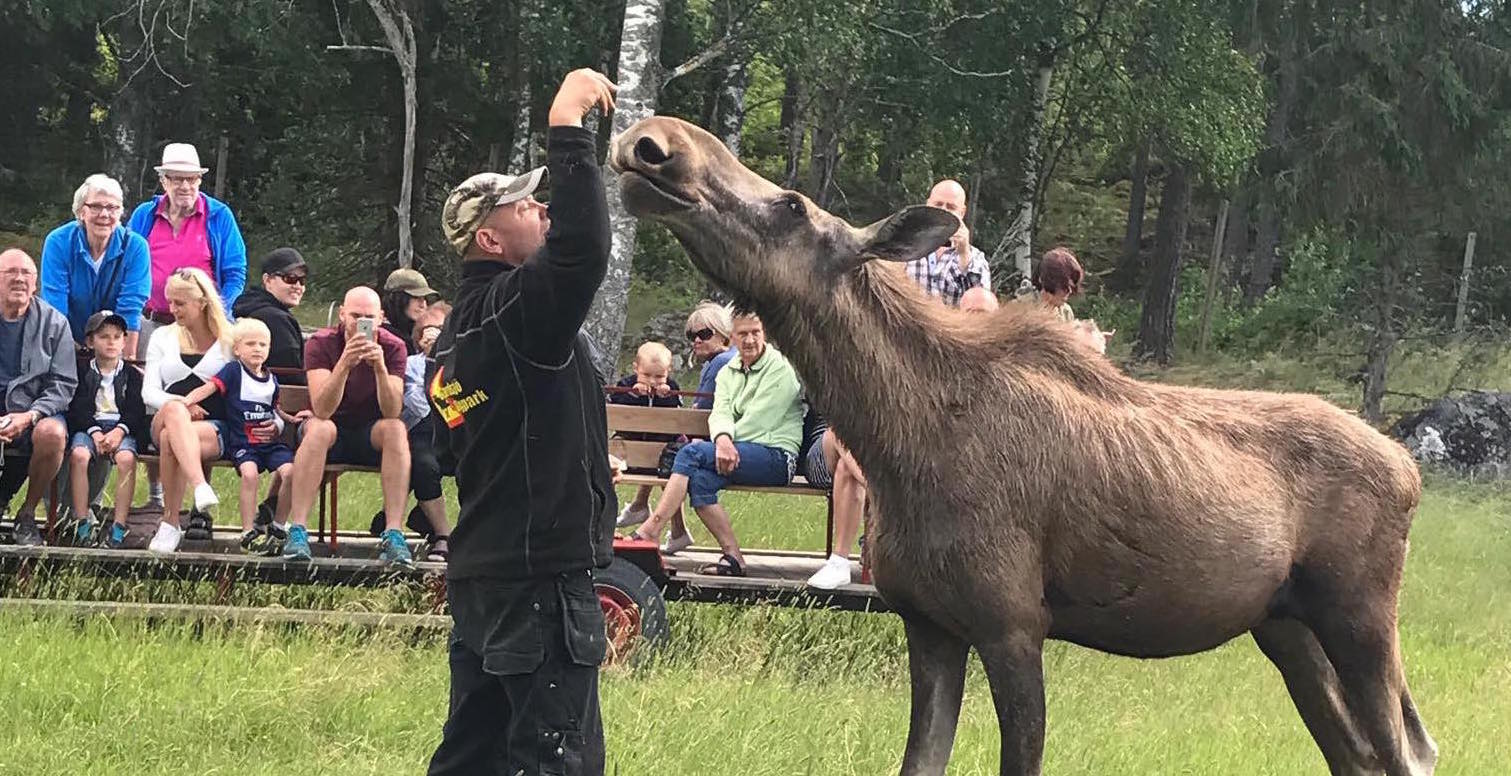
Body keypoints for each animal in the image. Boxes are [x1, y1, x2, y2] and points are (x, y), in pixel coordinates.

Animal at [607, 116, 1432, 772]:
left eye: (789, 204)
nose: (654, 141)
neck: (899, 448)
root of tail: (1410, 466)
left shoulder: (1011, 625)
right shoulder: (928, 624)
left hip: (1359, 614)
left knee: (1403, 750)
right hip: (1286, 626)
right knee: (1359, 754)